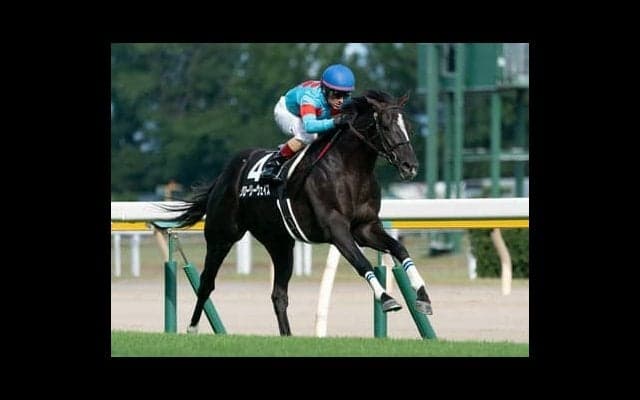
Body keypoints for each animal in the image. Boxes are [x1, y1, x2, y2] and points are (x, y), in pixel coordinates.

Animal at [167, 89, 433, 336]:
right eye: (386, 126)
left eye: (408, 127)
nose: (410, 166)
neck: (350, 170)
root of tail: (225, 173)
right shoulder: (336, 229)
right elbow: (361, 262)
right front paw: (387, 299)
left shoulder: (366, 228)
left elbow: (399, 249)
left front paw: (423, 296)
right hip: (221, 235)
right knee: (206, 282)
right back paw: (192, 328)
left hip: (279, 242)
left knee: (278, 294)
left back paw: (287, 335)